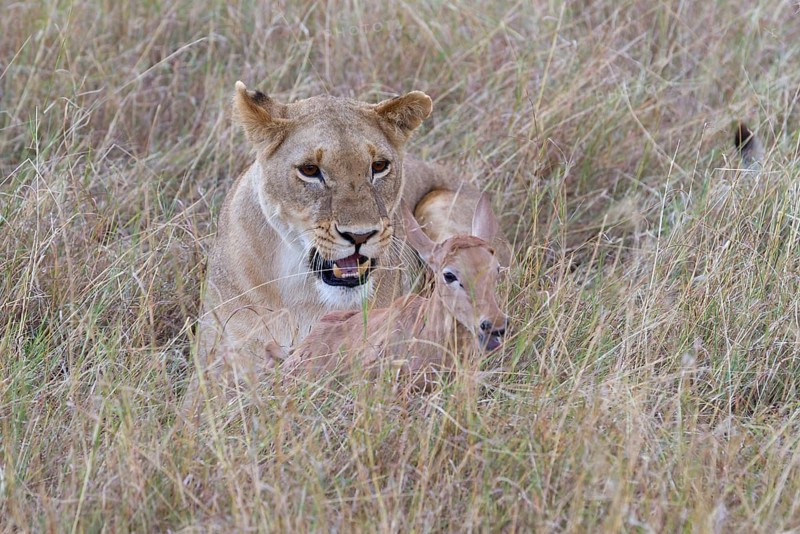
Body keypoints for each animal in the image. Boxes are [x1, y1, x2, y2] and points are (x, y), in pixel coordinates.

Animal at [193, 81, 510, 394]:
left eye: (379, 166)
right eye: (310, 170)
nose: (360, 235)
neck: (300, 289)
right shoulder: (216, 367)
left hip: (438, 204)